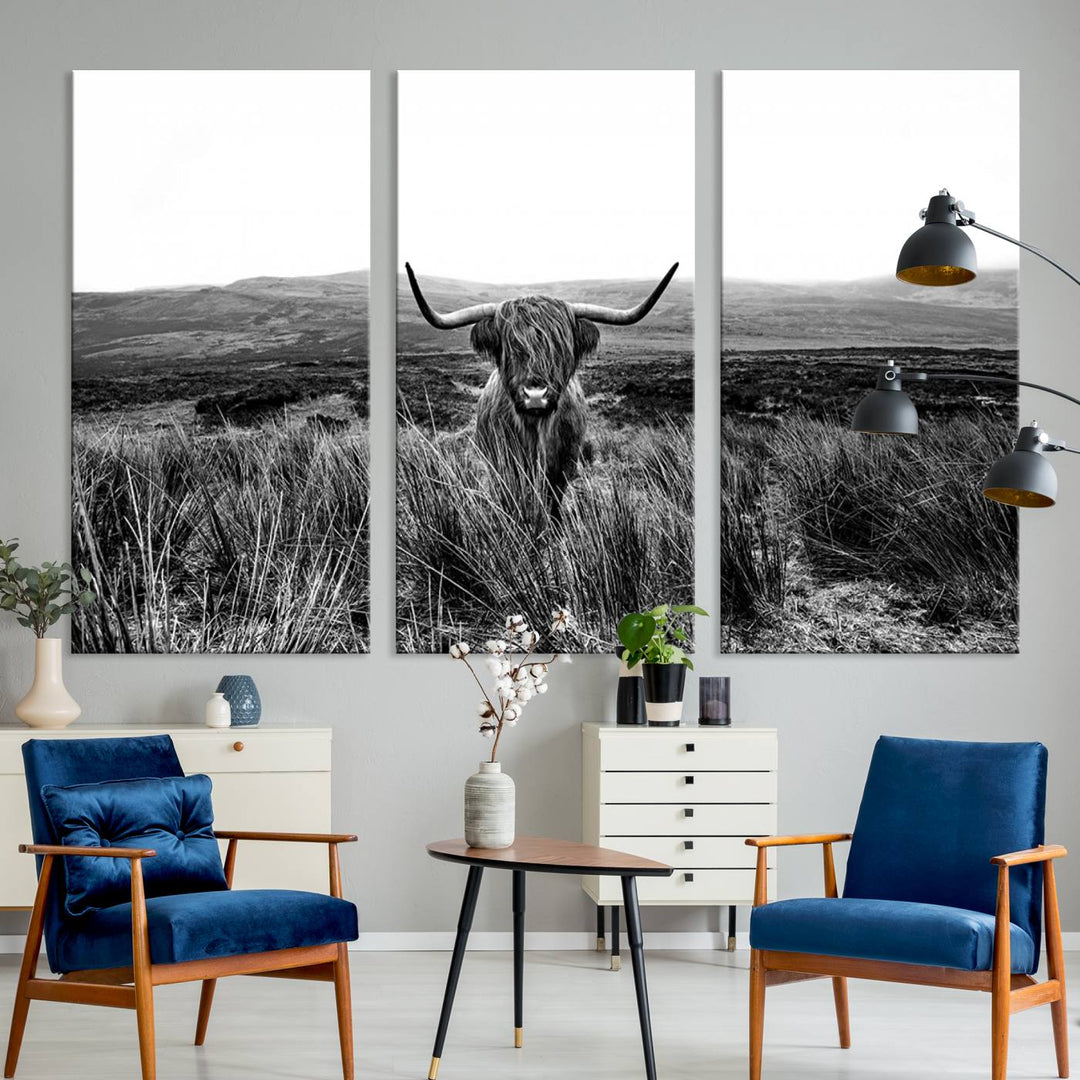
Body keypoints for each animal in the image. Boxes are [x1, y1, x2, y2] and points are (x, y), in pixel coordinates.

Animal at [406, 265, 673, 527]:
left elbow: (553, 501)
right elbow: (513, 499)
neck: (535, 430)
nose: (535, 395)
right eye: (511, 346)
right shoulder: (504, 464)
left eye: (560, 347)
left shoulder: (564, 465)